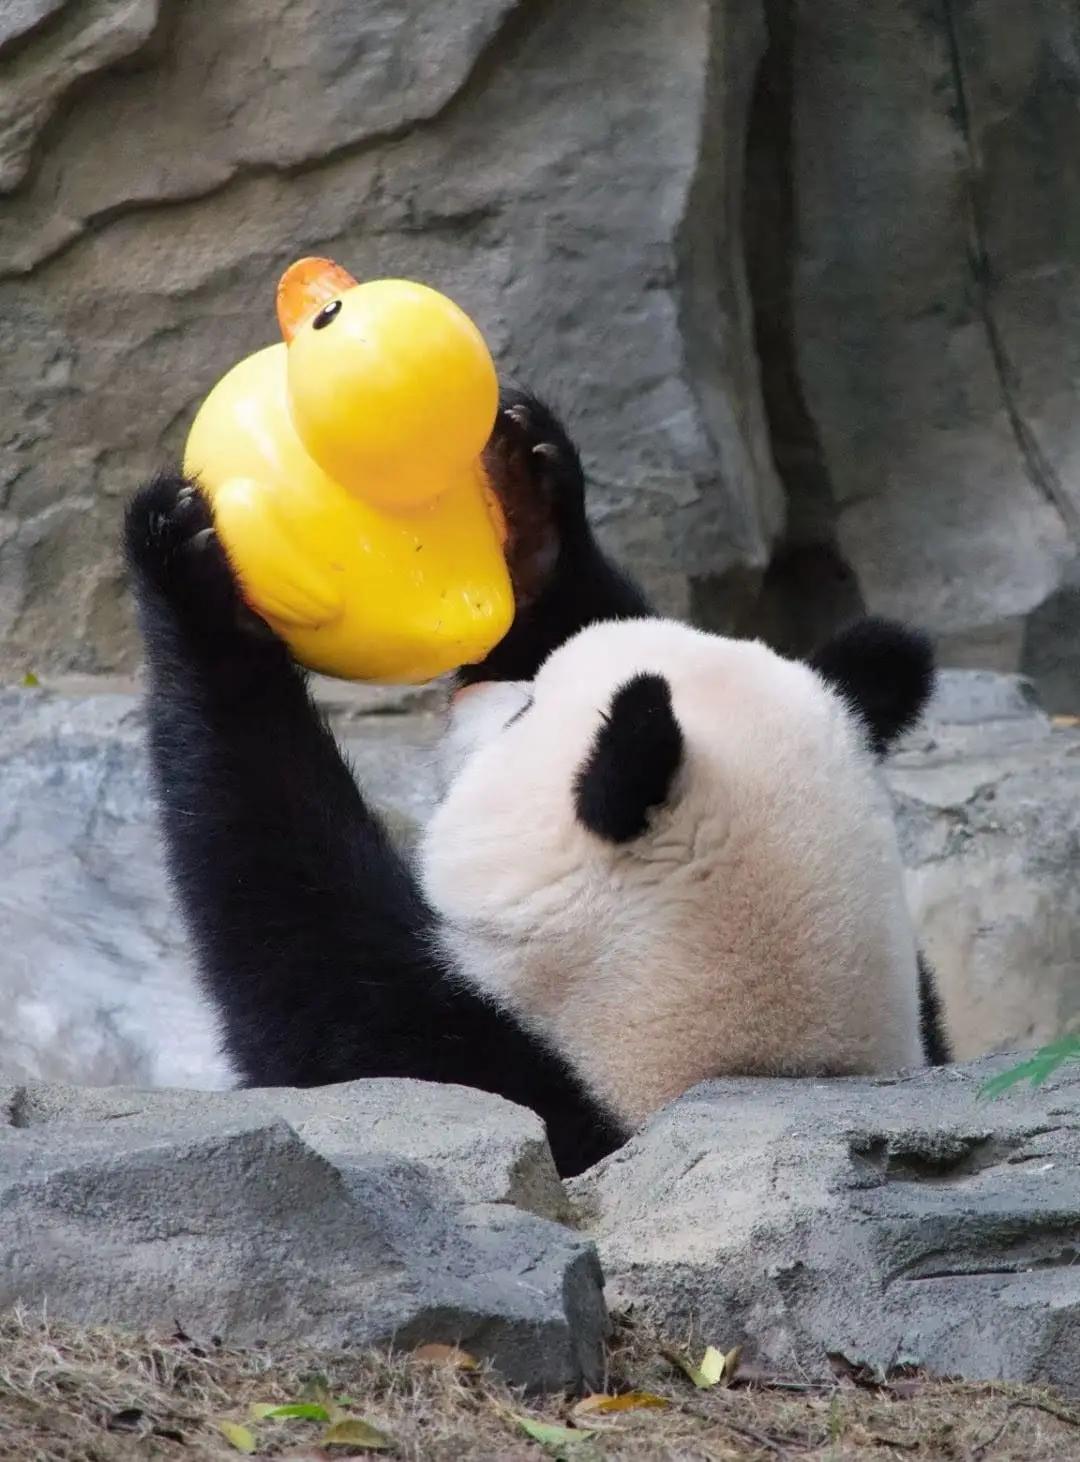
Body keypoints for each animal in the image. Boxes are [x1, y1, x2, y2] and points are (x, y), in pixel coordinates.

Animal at [123, 387, 951, 1180]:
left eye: (524, 713)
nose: (467, 698)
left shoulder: (459, 1060)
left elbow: (282, 916)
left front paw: (191, 571)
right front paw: (528, 492)